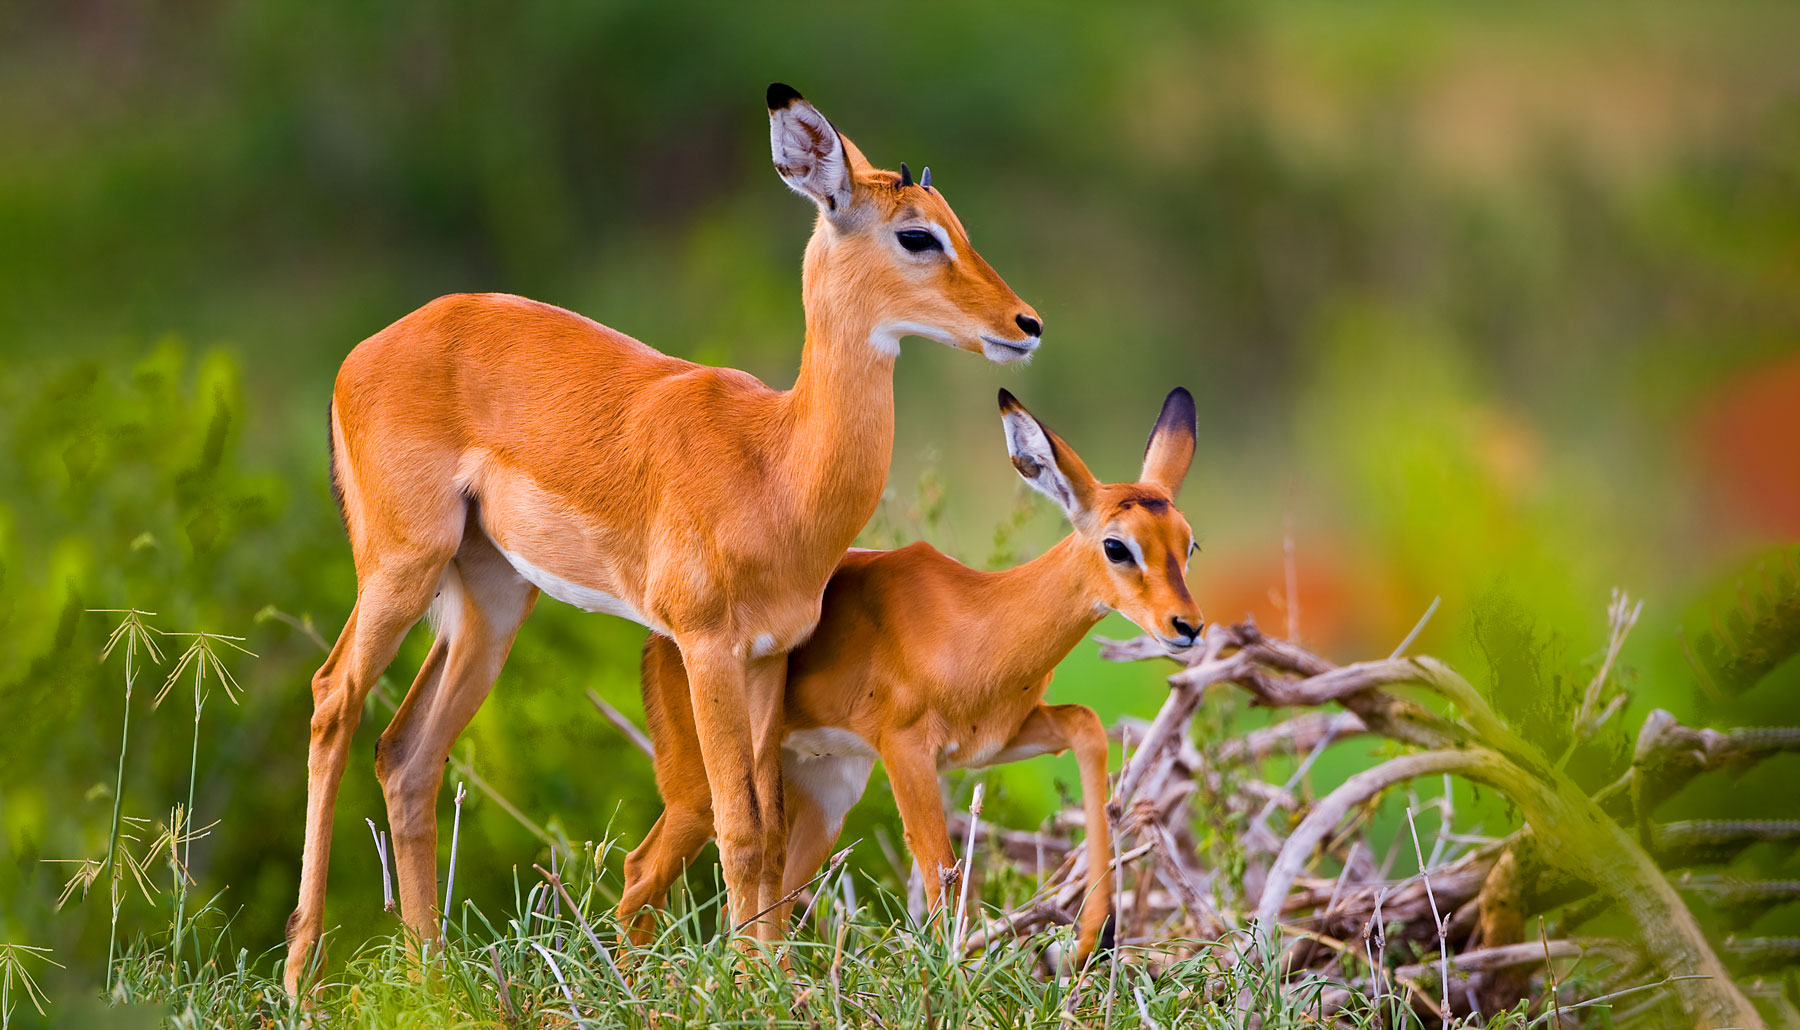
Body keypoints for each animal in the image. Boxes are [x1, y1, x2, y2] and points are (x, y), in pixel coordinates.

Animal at [284, 83, 1042, 993]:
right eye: (916, 234)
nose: (1025, 324)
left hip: (491, 602)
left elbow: (768, 827)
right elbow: (742, 826)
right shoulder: (707, 645)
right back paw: (300, 973)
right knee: (333, 699)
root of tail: (364, 352)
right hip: (401, 566)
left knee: (406, 754)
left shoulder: (767, 656)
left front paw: (769, 979)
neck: (776, 464)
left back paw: (432, 978)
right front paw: (754, 988)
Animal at [620, 387, 1201, 966]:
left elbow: (1086, 724)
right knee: (642, 871)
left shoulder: (996, 740)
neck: (978, 616)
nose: (1188, 626)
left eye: (1188, 544)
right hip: (699, 790)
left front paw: (1090, 937)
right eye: (1117, 545)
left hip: (824, 798)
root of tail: (661, 636)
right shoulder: (906, 750)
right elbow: (941, 866)